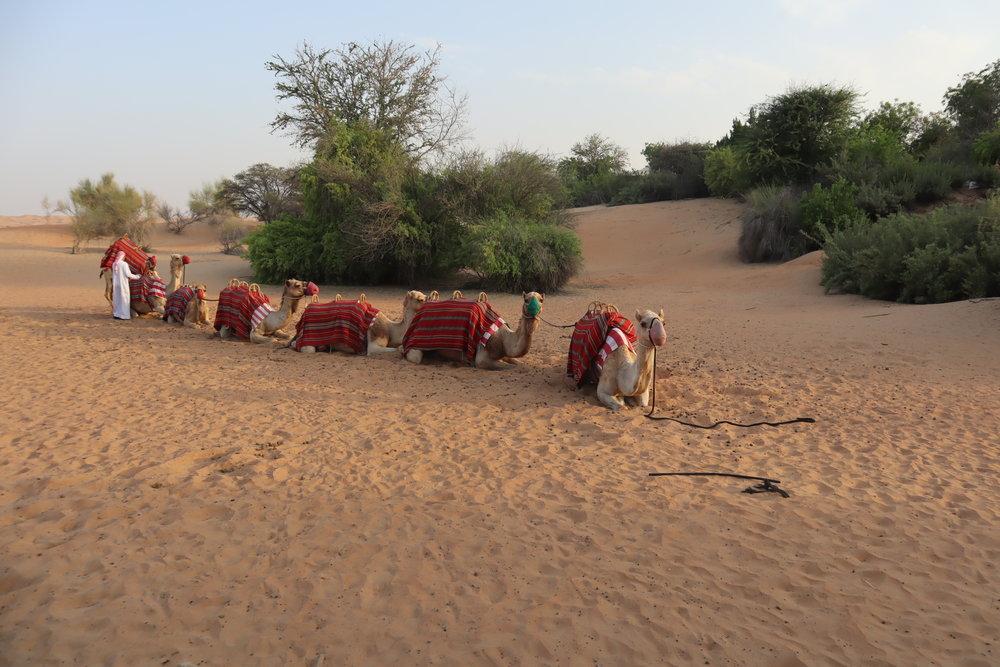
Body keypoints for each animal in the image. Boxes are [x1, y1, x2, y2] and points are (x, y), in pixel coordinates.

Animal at [292, 292, 426, 354]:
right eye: (420, 299)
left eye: (425, 296)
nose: (427, 301)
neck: (390, 328)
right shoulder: (373, 342)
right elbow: (394, 349)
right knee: (304, 347)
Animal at [402, 290, 544, 368]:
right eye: (526, 299)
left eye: (541, 299)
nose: (534, 309)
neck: (503, 339)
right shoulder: (482, 358)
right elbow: (511, 368)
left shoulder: (503, 354)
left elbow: (520, 365)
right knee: (414, 356)